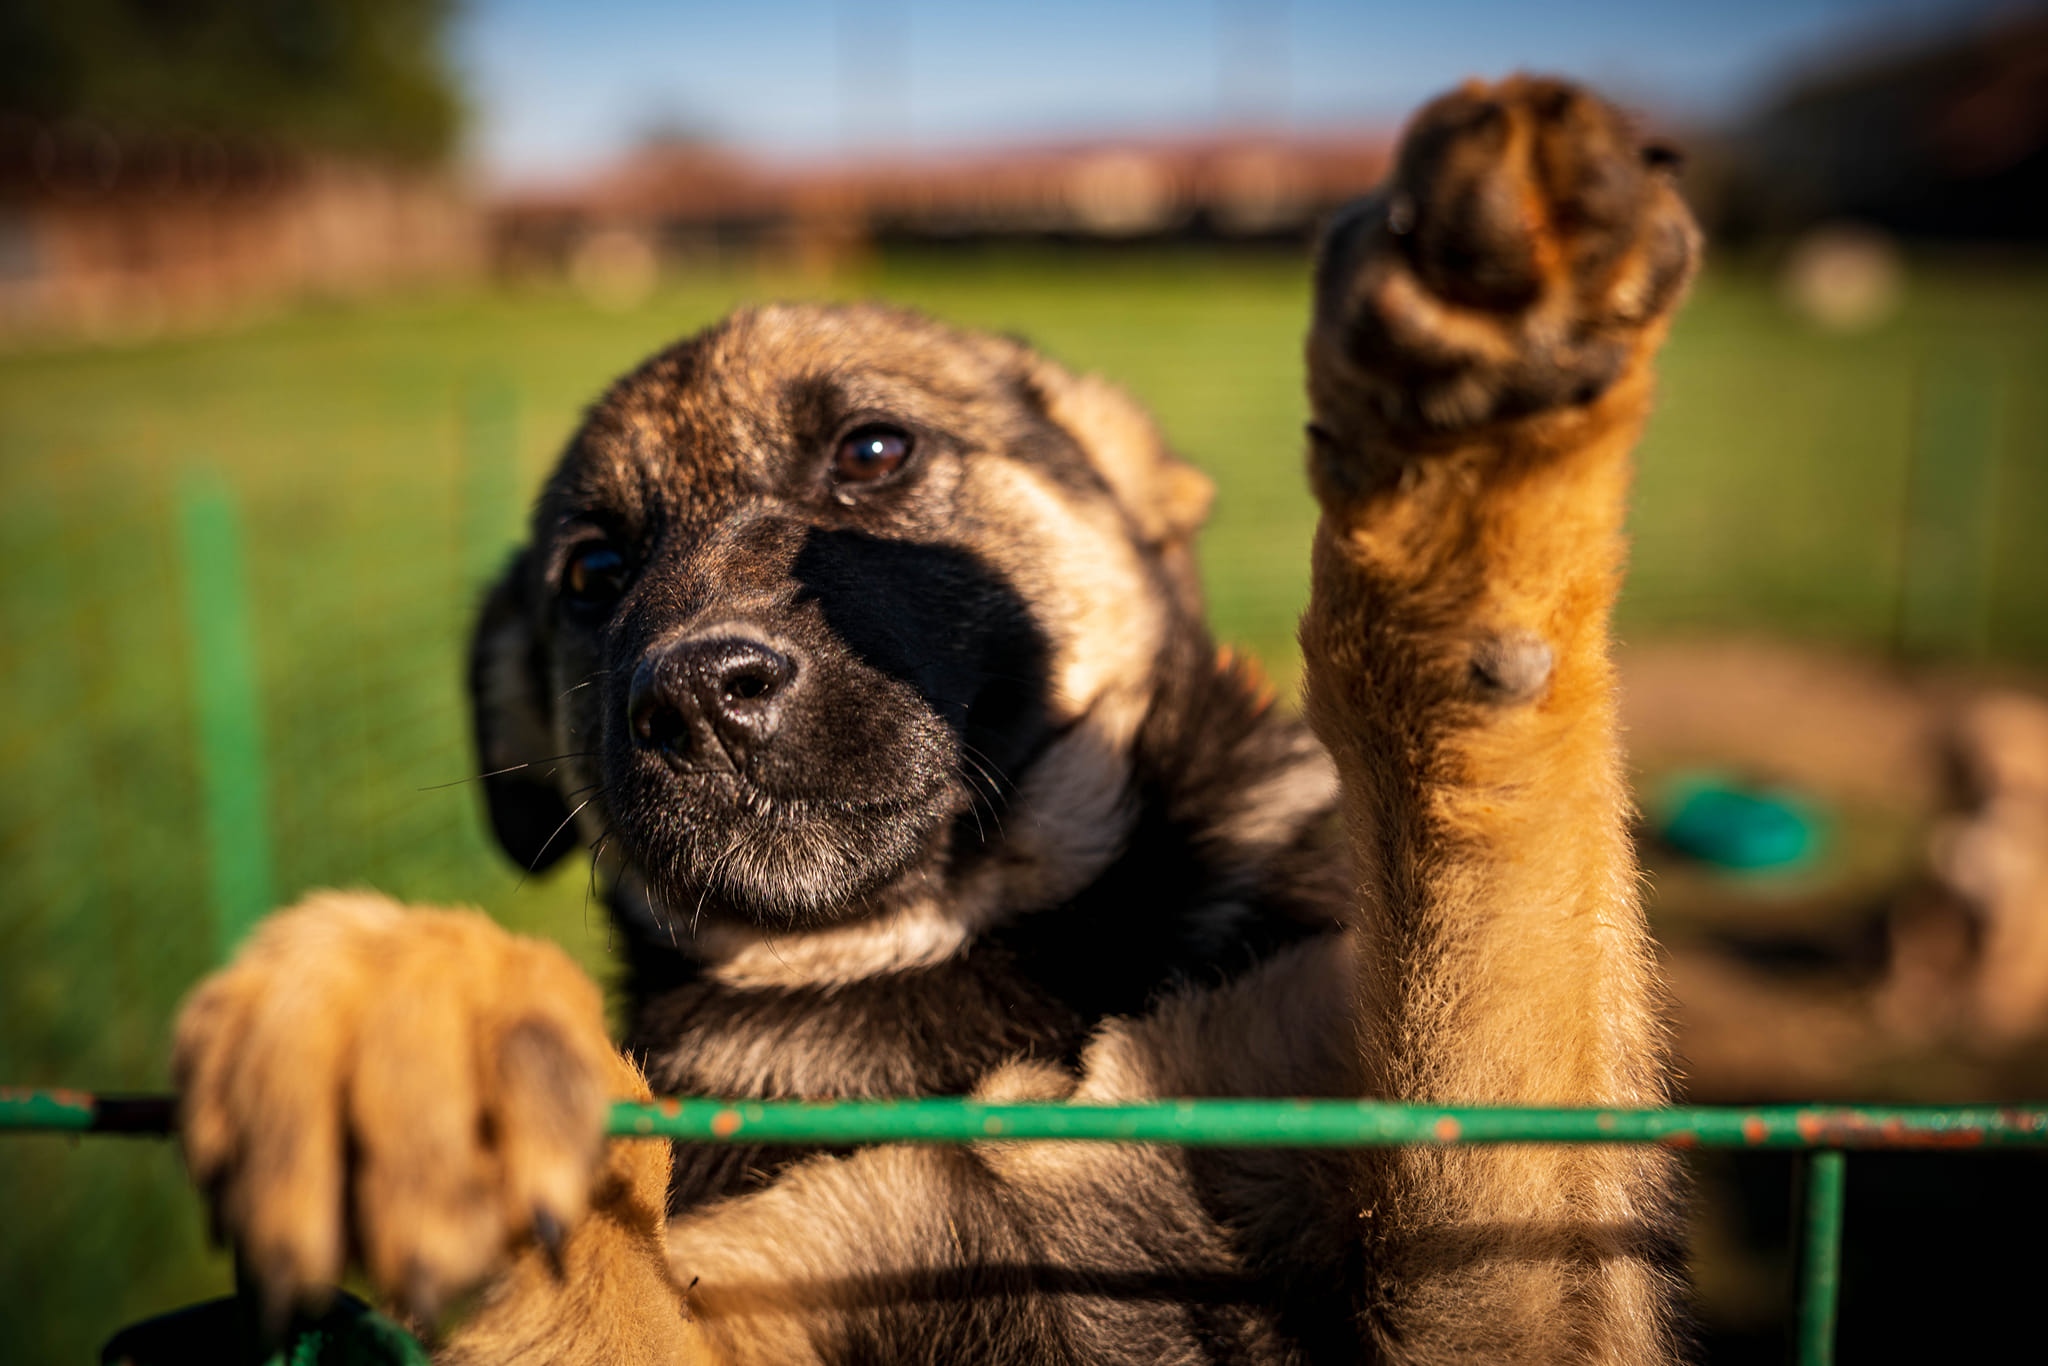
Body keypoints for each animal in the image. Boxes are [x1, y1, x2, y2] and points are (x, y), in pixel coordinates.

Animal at [172, 77, 1695, 1366]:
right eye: (593, 575)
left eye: (873, 452)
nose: (695, 697)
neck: (953, 953)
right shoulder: (769, 1274)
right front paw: (426, 1014)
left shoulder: (1473, 1209)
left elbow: (1492, 884)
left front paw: (1470, 467)